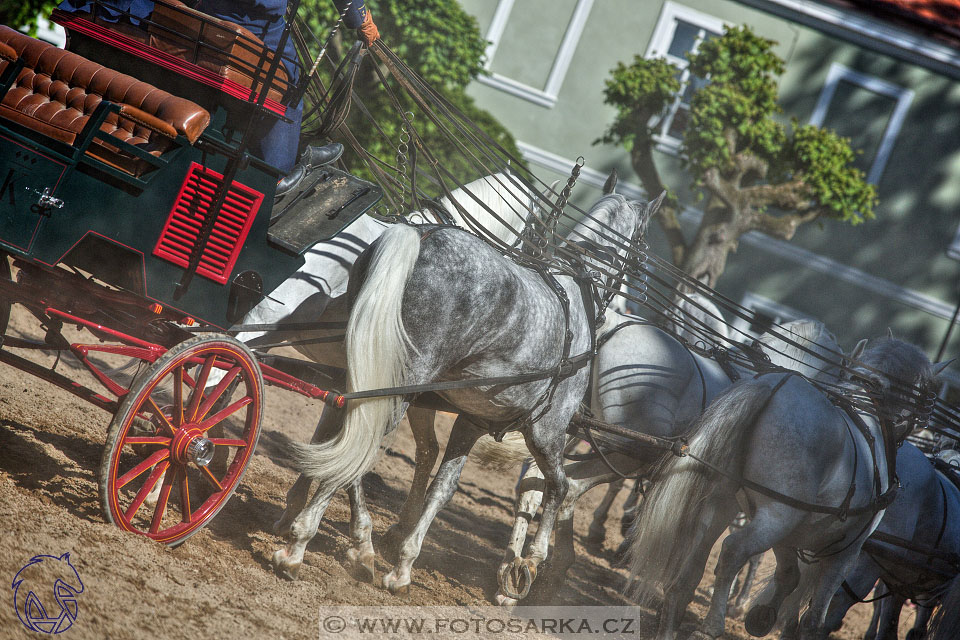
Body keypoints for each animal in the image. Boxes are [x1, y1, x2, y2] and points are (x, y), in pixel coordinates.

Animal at [268, 174, 660, 592]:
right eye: (642, 253)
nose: (626, 308)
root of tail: (421, 235)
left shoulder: (472, 421)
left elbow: (444, 487)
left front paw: (404, 563)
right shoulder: (548, 430)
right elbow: (558, 486)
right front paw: (530, 562)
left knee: (350, 439)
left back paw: (352, 543)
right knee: (360, 444)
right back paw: (302, 545)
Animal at [628, 336, 948, 640]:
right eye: (929, 395)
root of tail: (771, 385)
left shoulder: (793, 533)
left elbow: (789, 575)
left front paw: (762, 616)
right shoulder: (847, 551)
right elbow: (814, 619)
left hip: (723, 501)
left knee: (692, 564)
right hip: (778, 514)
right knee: (733, 550)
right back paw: (710, 627)